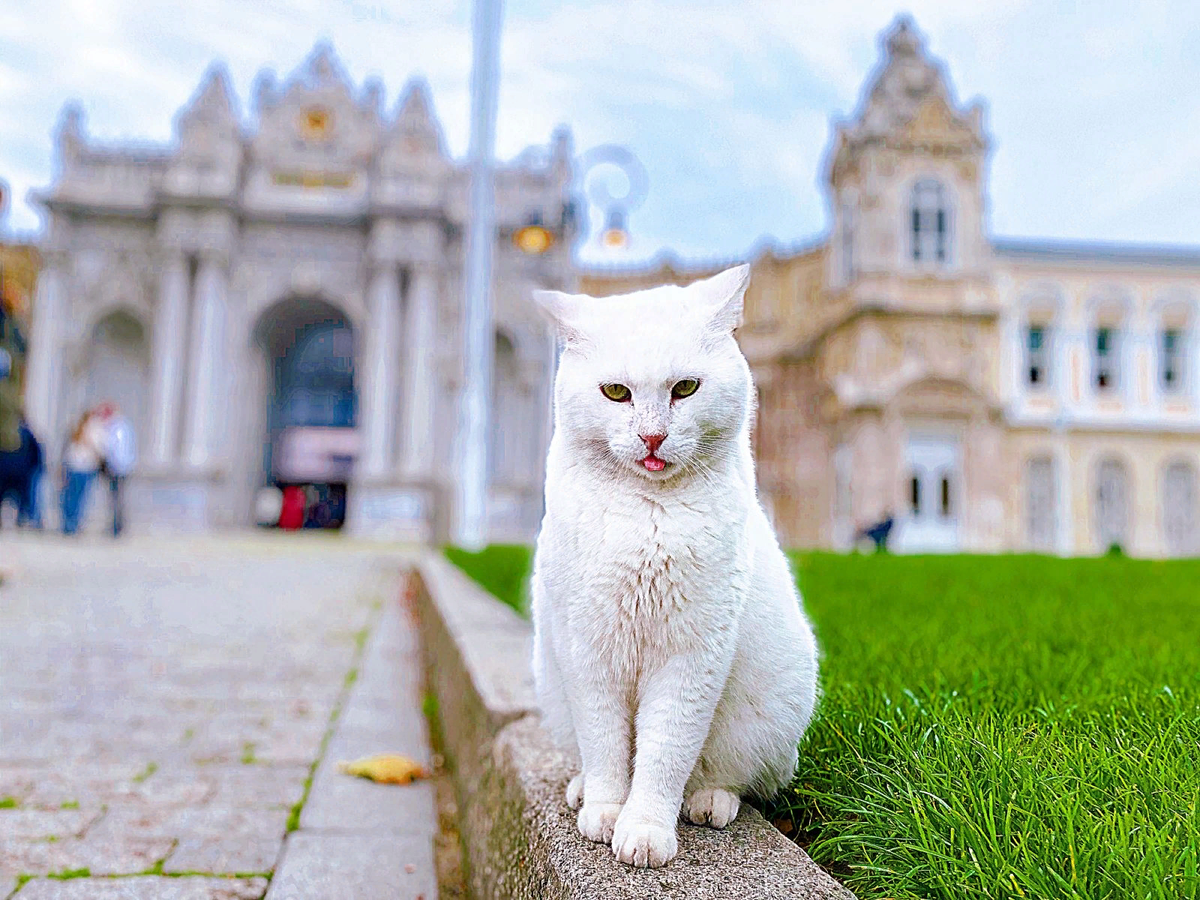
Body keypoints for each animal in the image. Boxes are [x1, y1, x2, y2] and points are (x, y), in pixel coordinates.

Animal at [530, 264, 820, 868]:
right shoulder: (589, 651)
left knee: (731, 778)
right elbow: (606, 745)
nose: (652, 437)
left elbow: (664, 753)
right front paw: (604, 811)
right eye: (616, 392)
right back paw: (580, 790)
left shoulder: (691, 657)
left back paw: (710, 803)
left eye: (685, 388)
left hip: (769, 718)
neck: (649, 513)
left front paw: (644, 832)